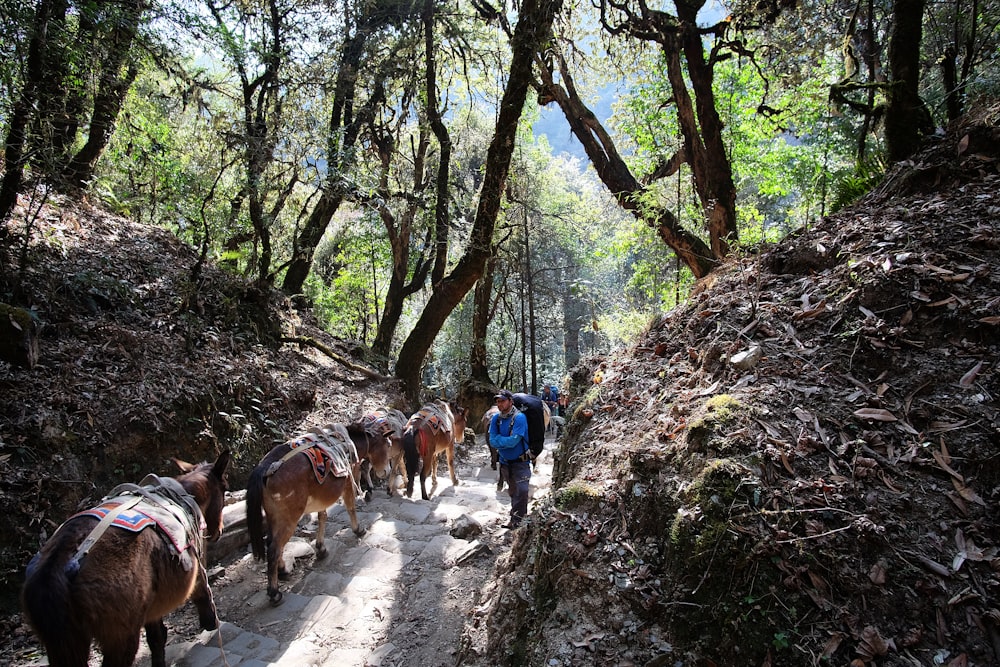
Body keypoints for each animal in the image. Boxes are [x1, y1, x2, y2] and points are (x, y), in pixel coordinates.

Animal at [21, 448, 230, 667]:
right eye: (224, 490)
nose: (219, 531)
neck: (186, 493)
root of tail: (60, 563)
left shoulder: (151, 605)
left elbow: (157, 637)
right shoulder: (198, 567)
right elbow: (203, 596)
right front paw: (212, 624)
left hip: (66, 642)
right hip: (120, 635)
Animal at [246, 422, 390, 604]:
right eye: (387, 445)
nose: (386, 472)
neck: (349, 442)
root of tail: (265, 468)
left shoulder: (323, 494)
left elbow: (323, 517)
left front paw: (321, 548)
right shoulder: (347, 483)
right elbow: (351, 507)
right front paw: (359, 530)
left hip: (273, 516)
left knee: (271, 542)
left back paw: (283, 570)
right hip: (289, 518)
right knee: (274, 548)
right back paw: (274, 592)